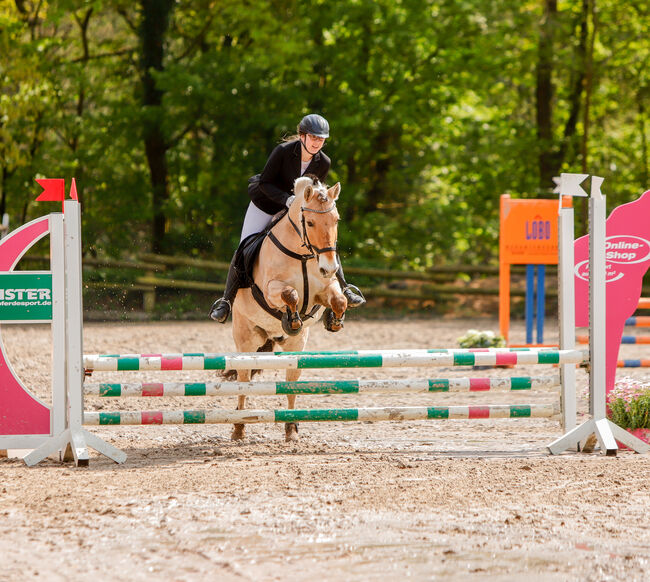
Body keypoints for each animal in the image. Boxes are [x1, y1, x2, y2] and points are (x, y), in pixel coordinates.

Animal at [229, 177, 346, 442]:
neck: (302, 255)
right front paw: (292, 319)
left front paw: (334, 321)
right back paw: (239, 427)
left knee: (291, 382)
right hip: (246, 339)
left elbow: (339, 300)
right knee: (243, 380)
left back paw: (291, 427)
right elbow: (290, 294)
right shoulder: (271, 290)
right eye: (310, 222)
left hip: (295, 347)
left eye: (336, 220)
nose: (329, 268)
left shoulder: (324, 289)